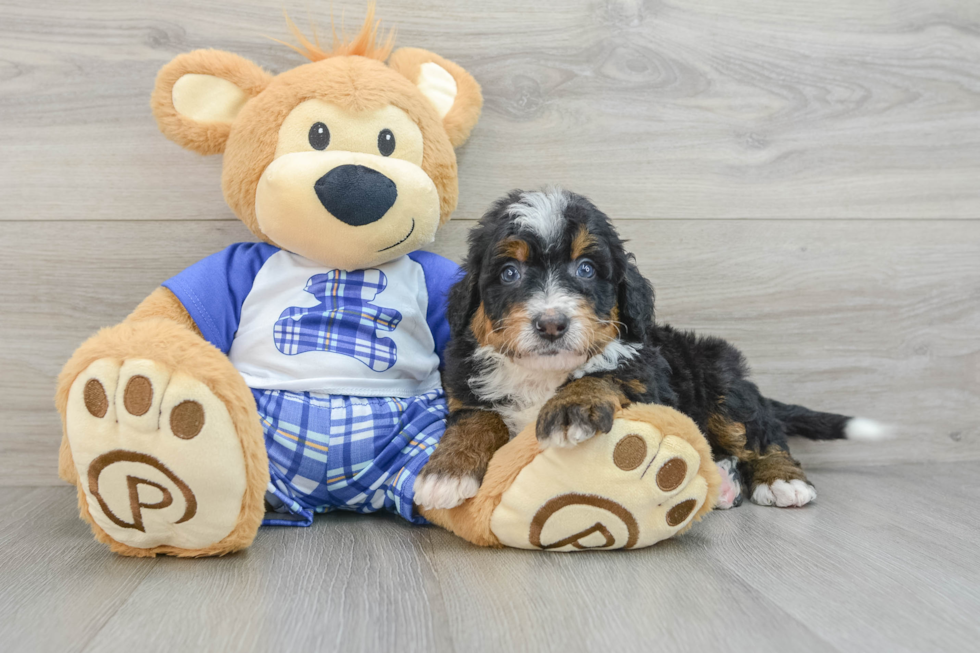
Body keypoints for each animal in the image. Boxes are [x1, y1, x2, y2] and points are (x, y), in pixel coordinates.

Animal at [414, 187, 888, 510]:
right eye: (509, 272)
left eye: (586, 269)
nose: (551, 323)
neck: (543, 375)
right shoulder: (465, 384)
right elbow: (476, 419)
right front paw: (447, 471)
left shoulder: (647, 374)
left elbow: (604, 372)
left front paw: (570, 409)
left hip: (722, 381)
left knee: (762, 434)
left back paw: (781, 480)